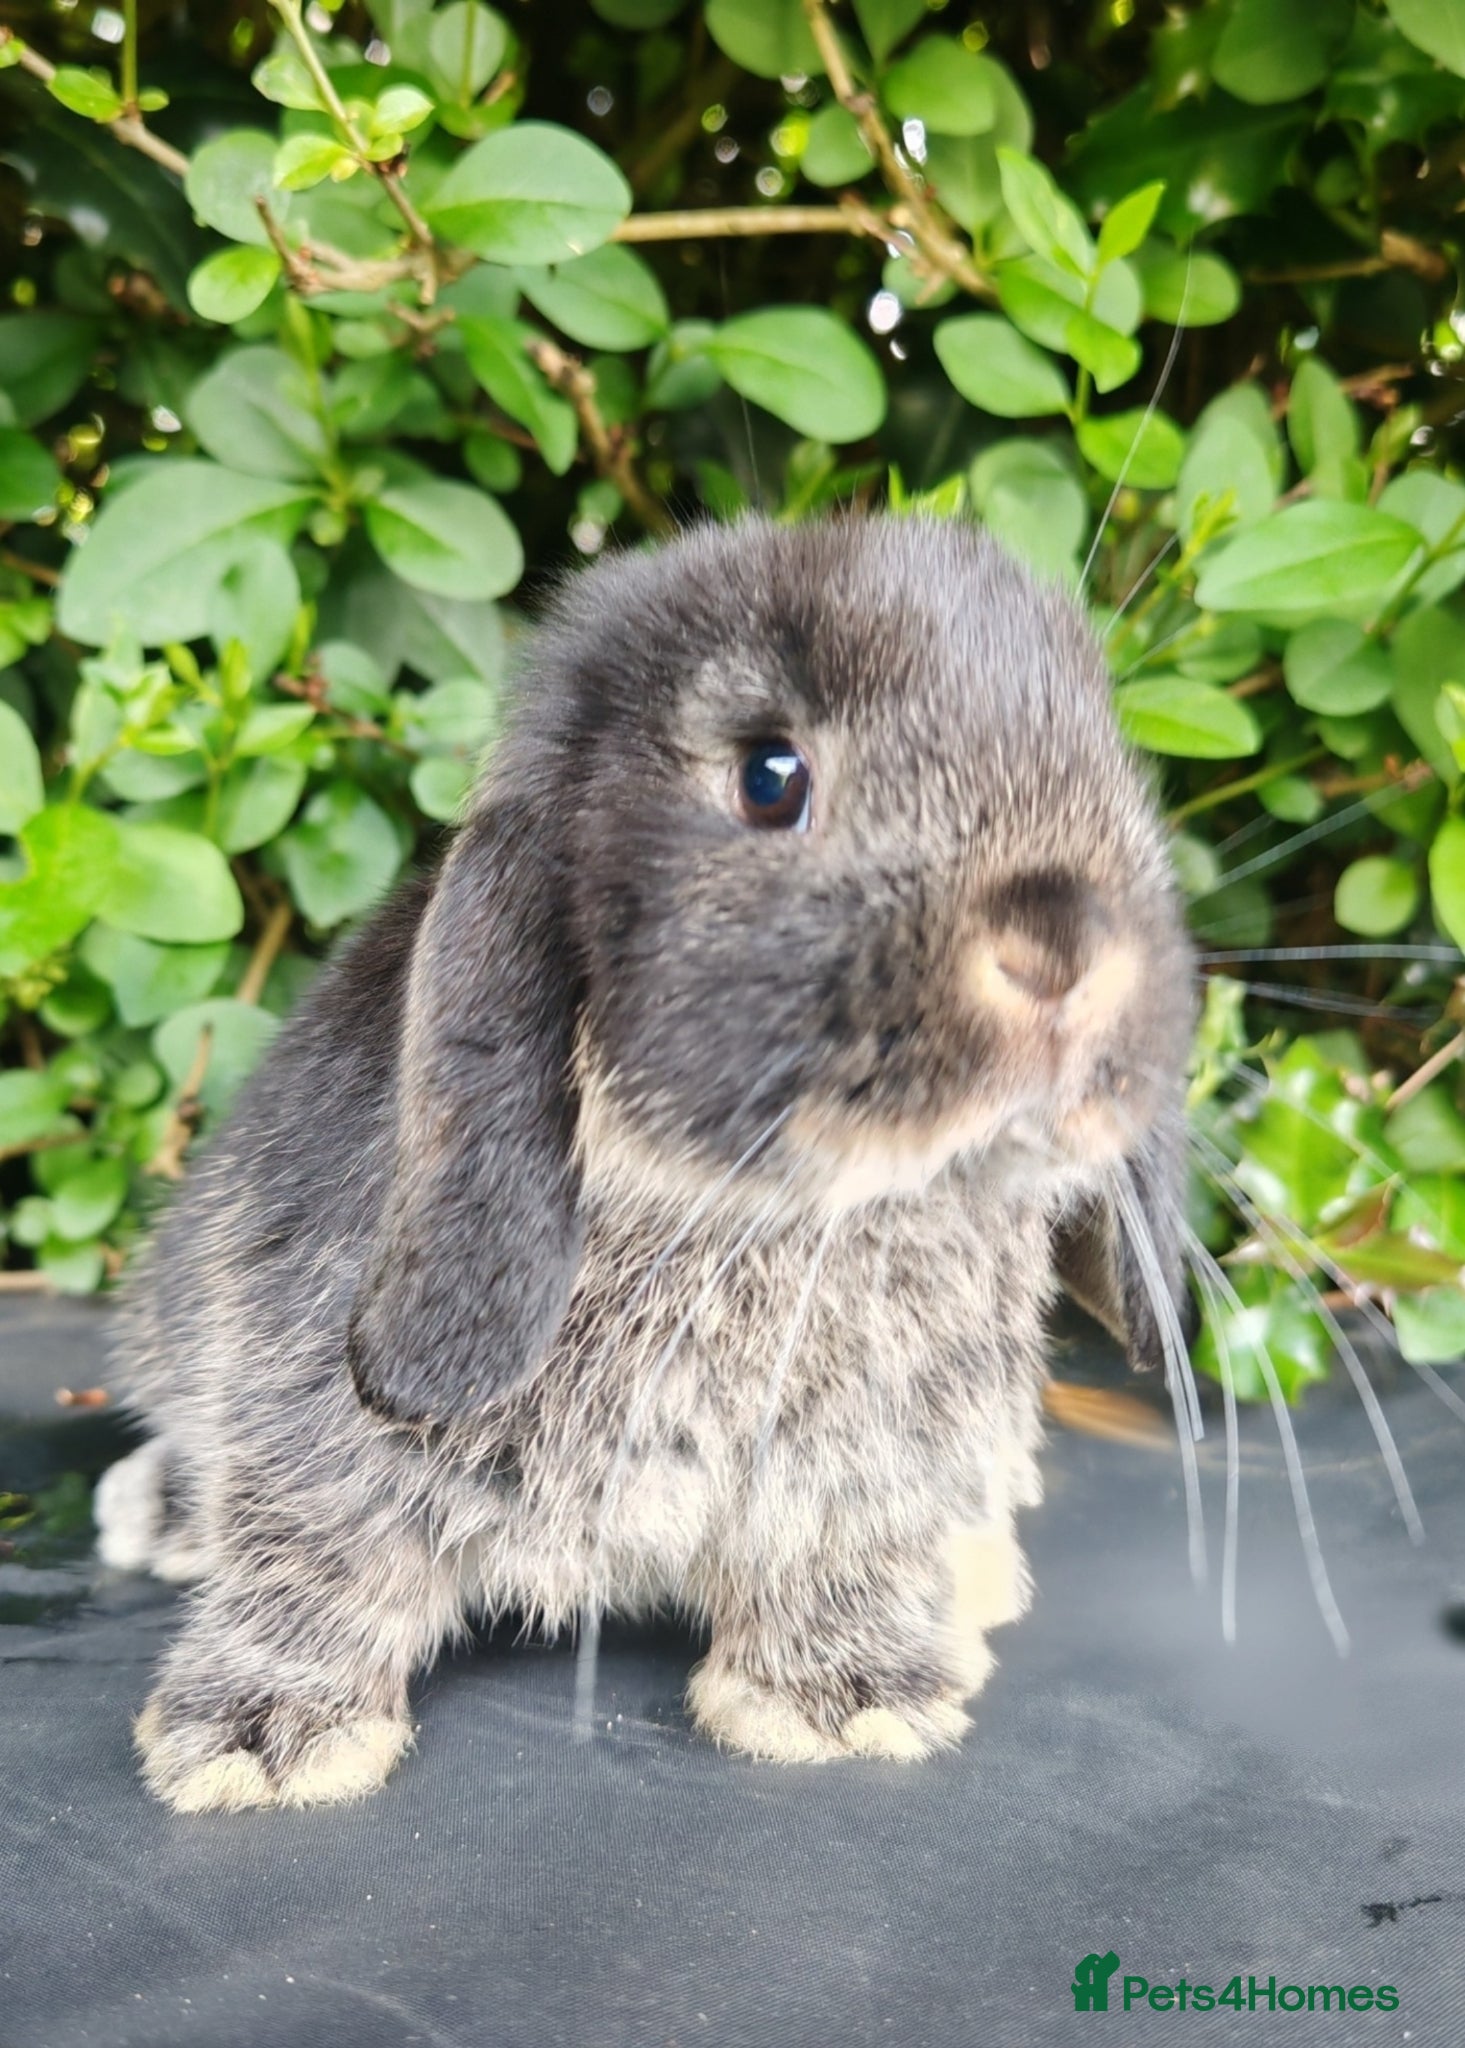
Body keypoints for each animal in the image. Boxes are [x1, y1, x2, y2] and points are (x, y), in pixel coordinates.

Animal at [94, 514, 1196, 1813]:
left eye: (1111, 762)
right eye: (770, 775)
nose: (1067, 946)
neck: (765, 1209)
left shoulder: (872, 1462)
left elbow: (845, 1547)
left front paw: (845, 1696)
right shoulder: (306, 1397)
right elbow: (317, 1548)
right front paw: (261, 1734)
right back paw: (165, 1516)